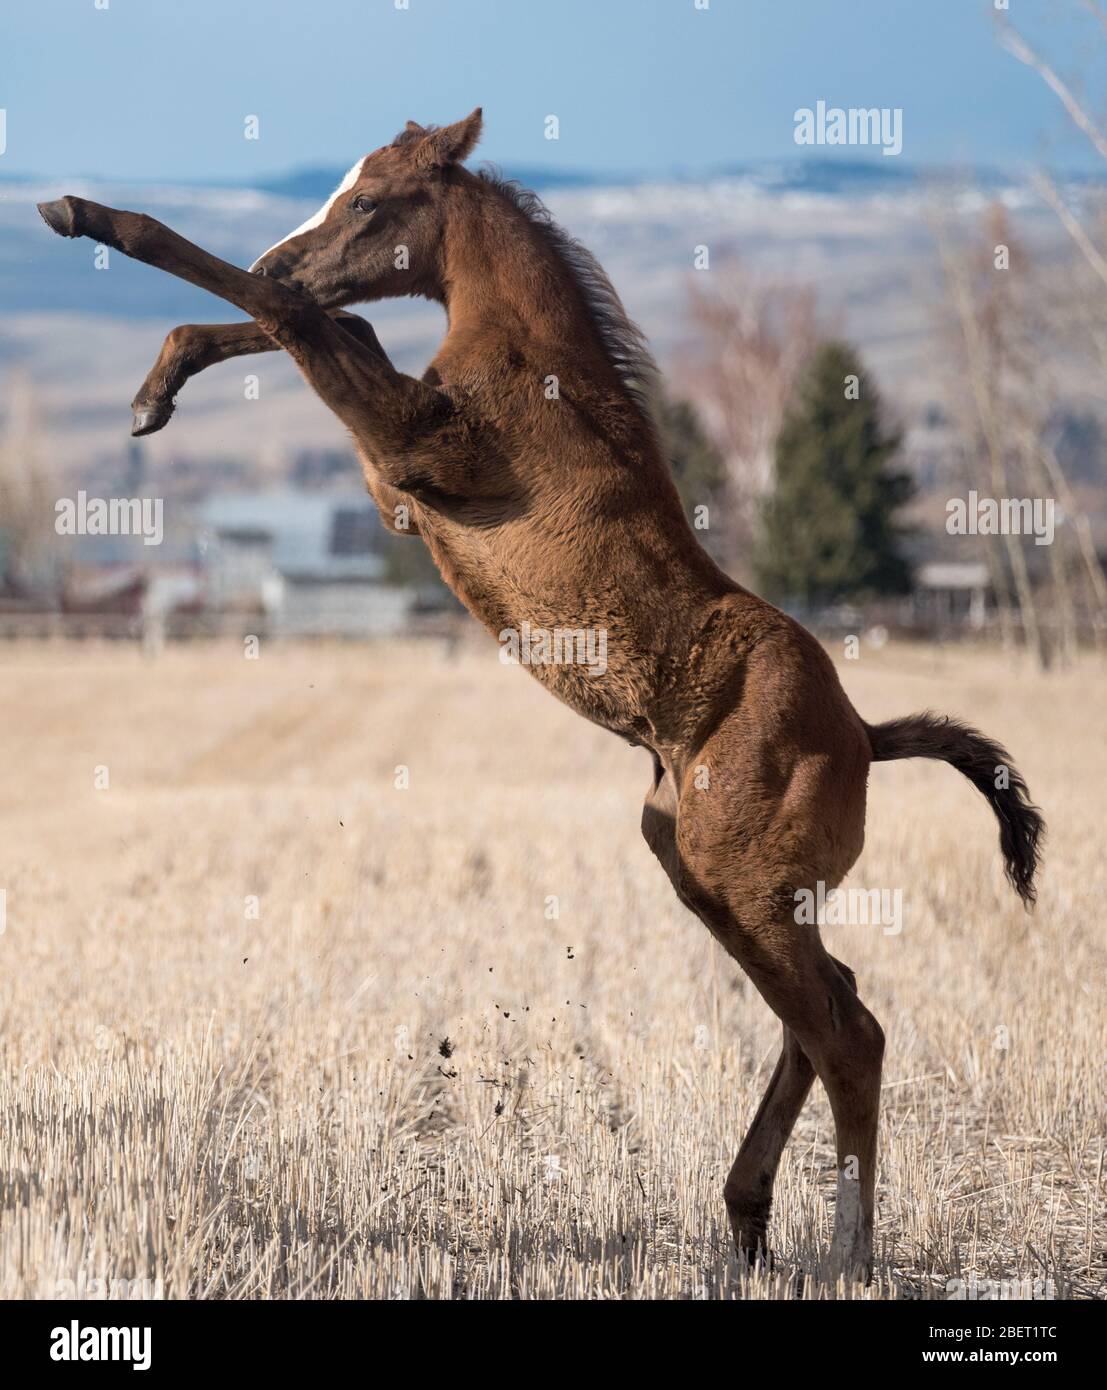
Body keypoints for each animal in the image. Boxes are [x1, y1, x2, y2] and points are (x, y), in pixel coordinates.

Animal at [36, 108, 1040, 1278]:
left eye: (367, 200)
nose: (287, 252)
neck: (535, 360)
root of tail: (866, 733)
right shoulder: (394, 474)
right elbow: (328, 324)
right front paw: (159, 384)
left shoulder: (418, 451)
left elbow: (298, 319)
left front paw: (89, 217)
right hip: (708, 873)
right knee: (822, 1012)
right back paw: (746, 1220)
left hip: (743, 879)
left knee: (849, 1032)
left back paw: (846, 1252)